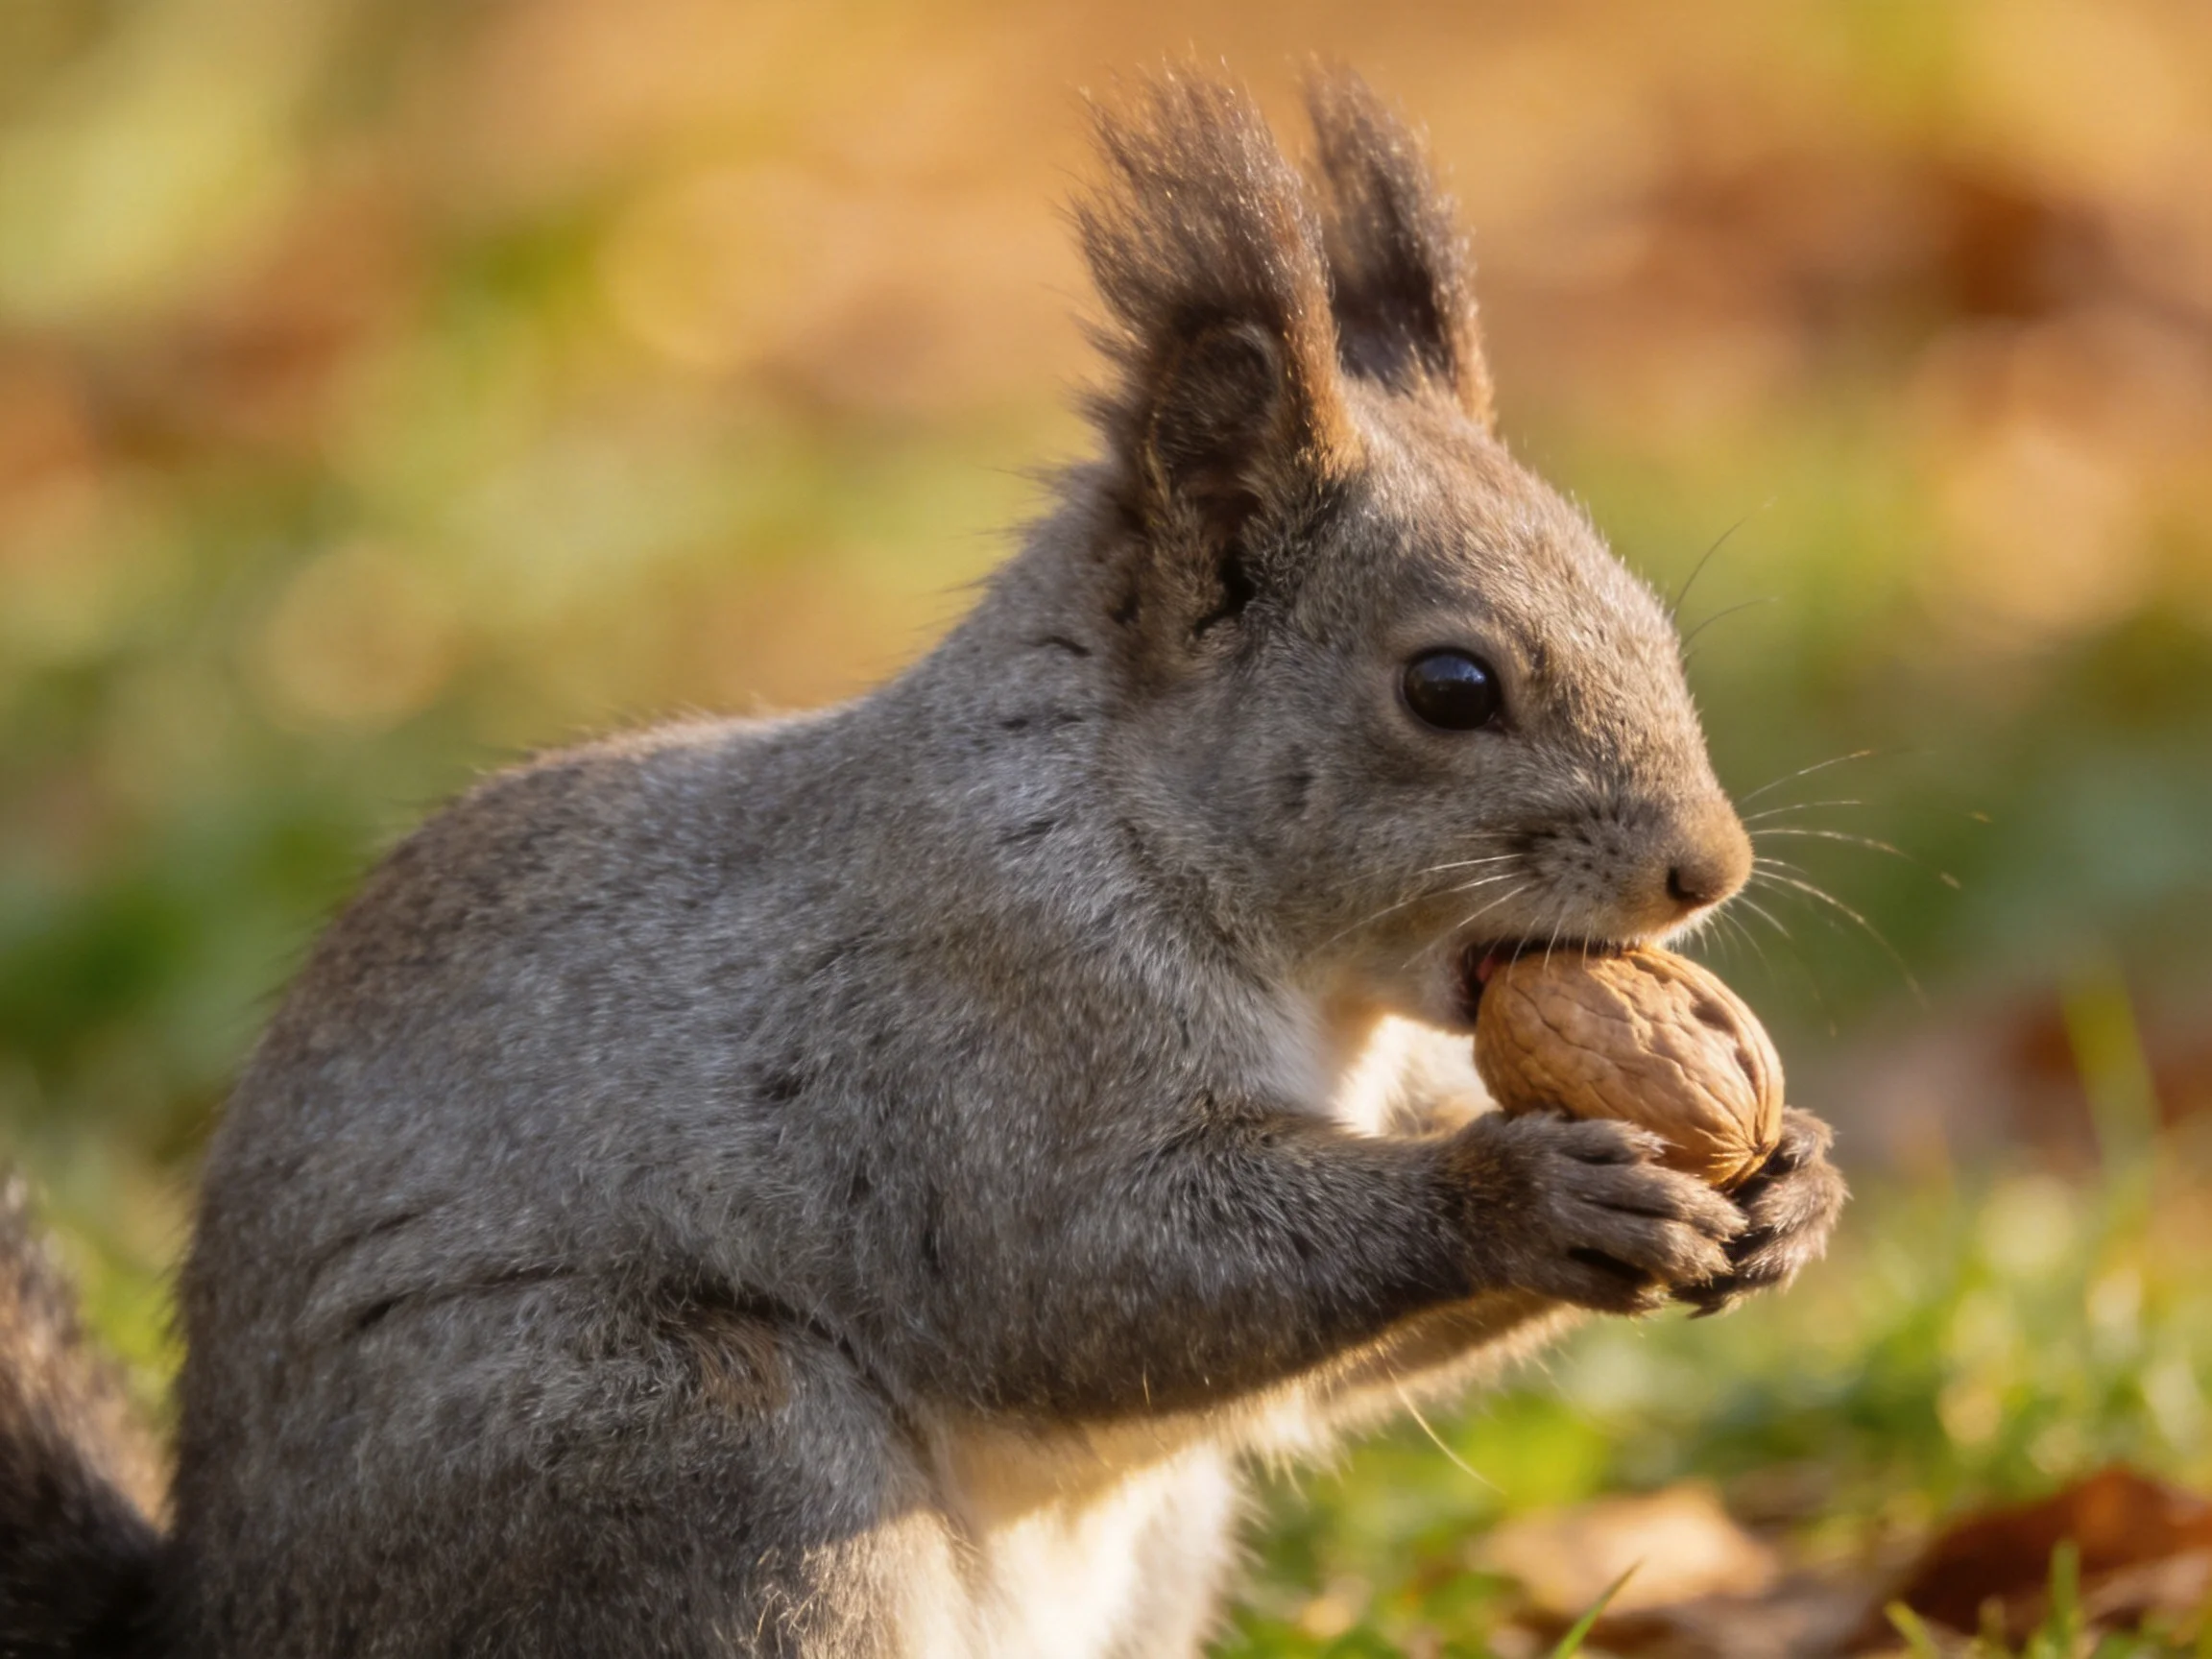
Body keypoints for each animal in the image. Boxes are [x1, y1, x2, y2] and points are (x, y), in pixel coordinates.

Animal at [0, 69, 1845, 1658]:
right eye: (1448, 686)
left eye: (1648, 613)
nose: (1707, 869)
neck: (1137, 836)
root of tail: (215, 1622)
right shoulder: (958, 1028)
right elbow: (1075, 1273)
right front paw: (1523, 1192)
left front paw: (1796, 1181)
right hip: (697, 1450)